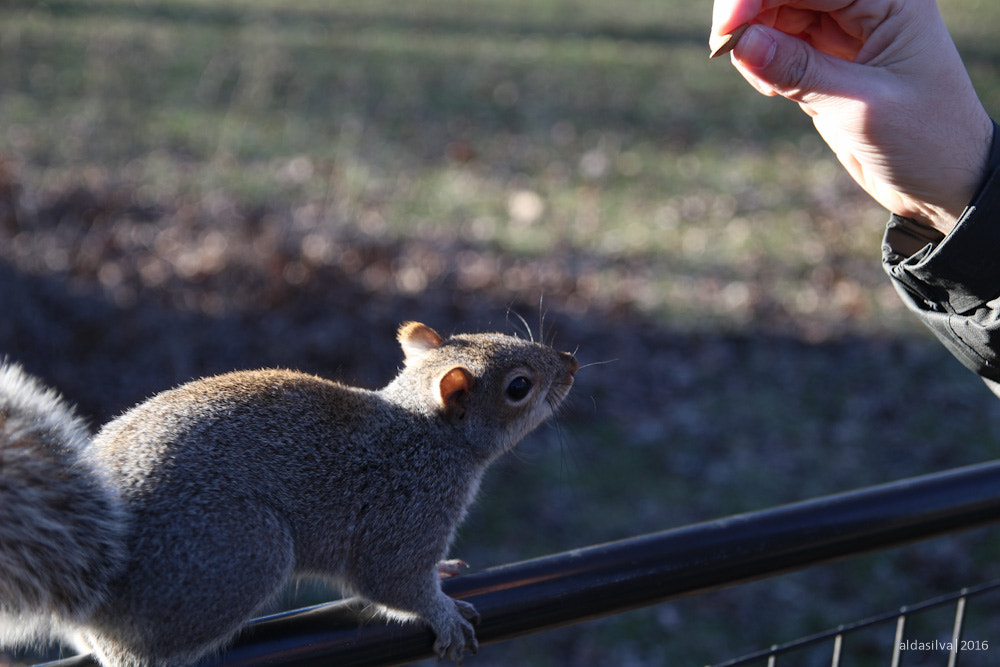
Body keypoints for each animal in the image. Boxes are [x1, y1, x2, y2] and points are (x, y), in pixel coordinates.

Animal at [0, 321, 578, 666]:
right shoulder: (407, 510)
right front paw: (443, 615)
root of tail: (98, 588)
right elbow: (388, 582)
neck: (424, 431)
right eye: (519, 387)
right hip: (244, 553)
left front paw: (443, 573)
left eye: (493, 330)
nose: (571, 364)